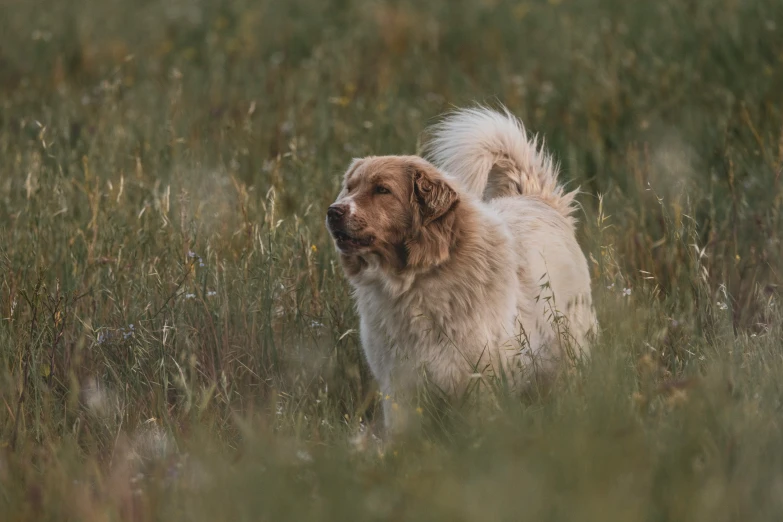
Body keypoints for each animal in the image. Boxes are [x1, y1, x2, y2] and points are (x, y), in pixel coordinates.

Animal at [324, 105, 596, 430]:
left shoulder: (481, 379)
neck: (417, 280)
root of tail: (535, 199)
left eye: (382, 190)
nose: (333, 212)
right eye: (350, 188)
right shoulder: (399, 386)